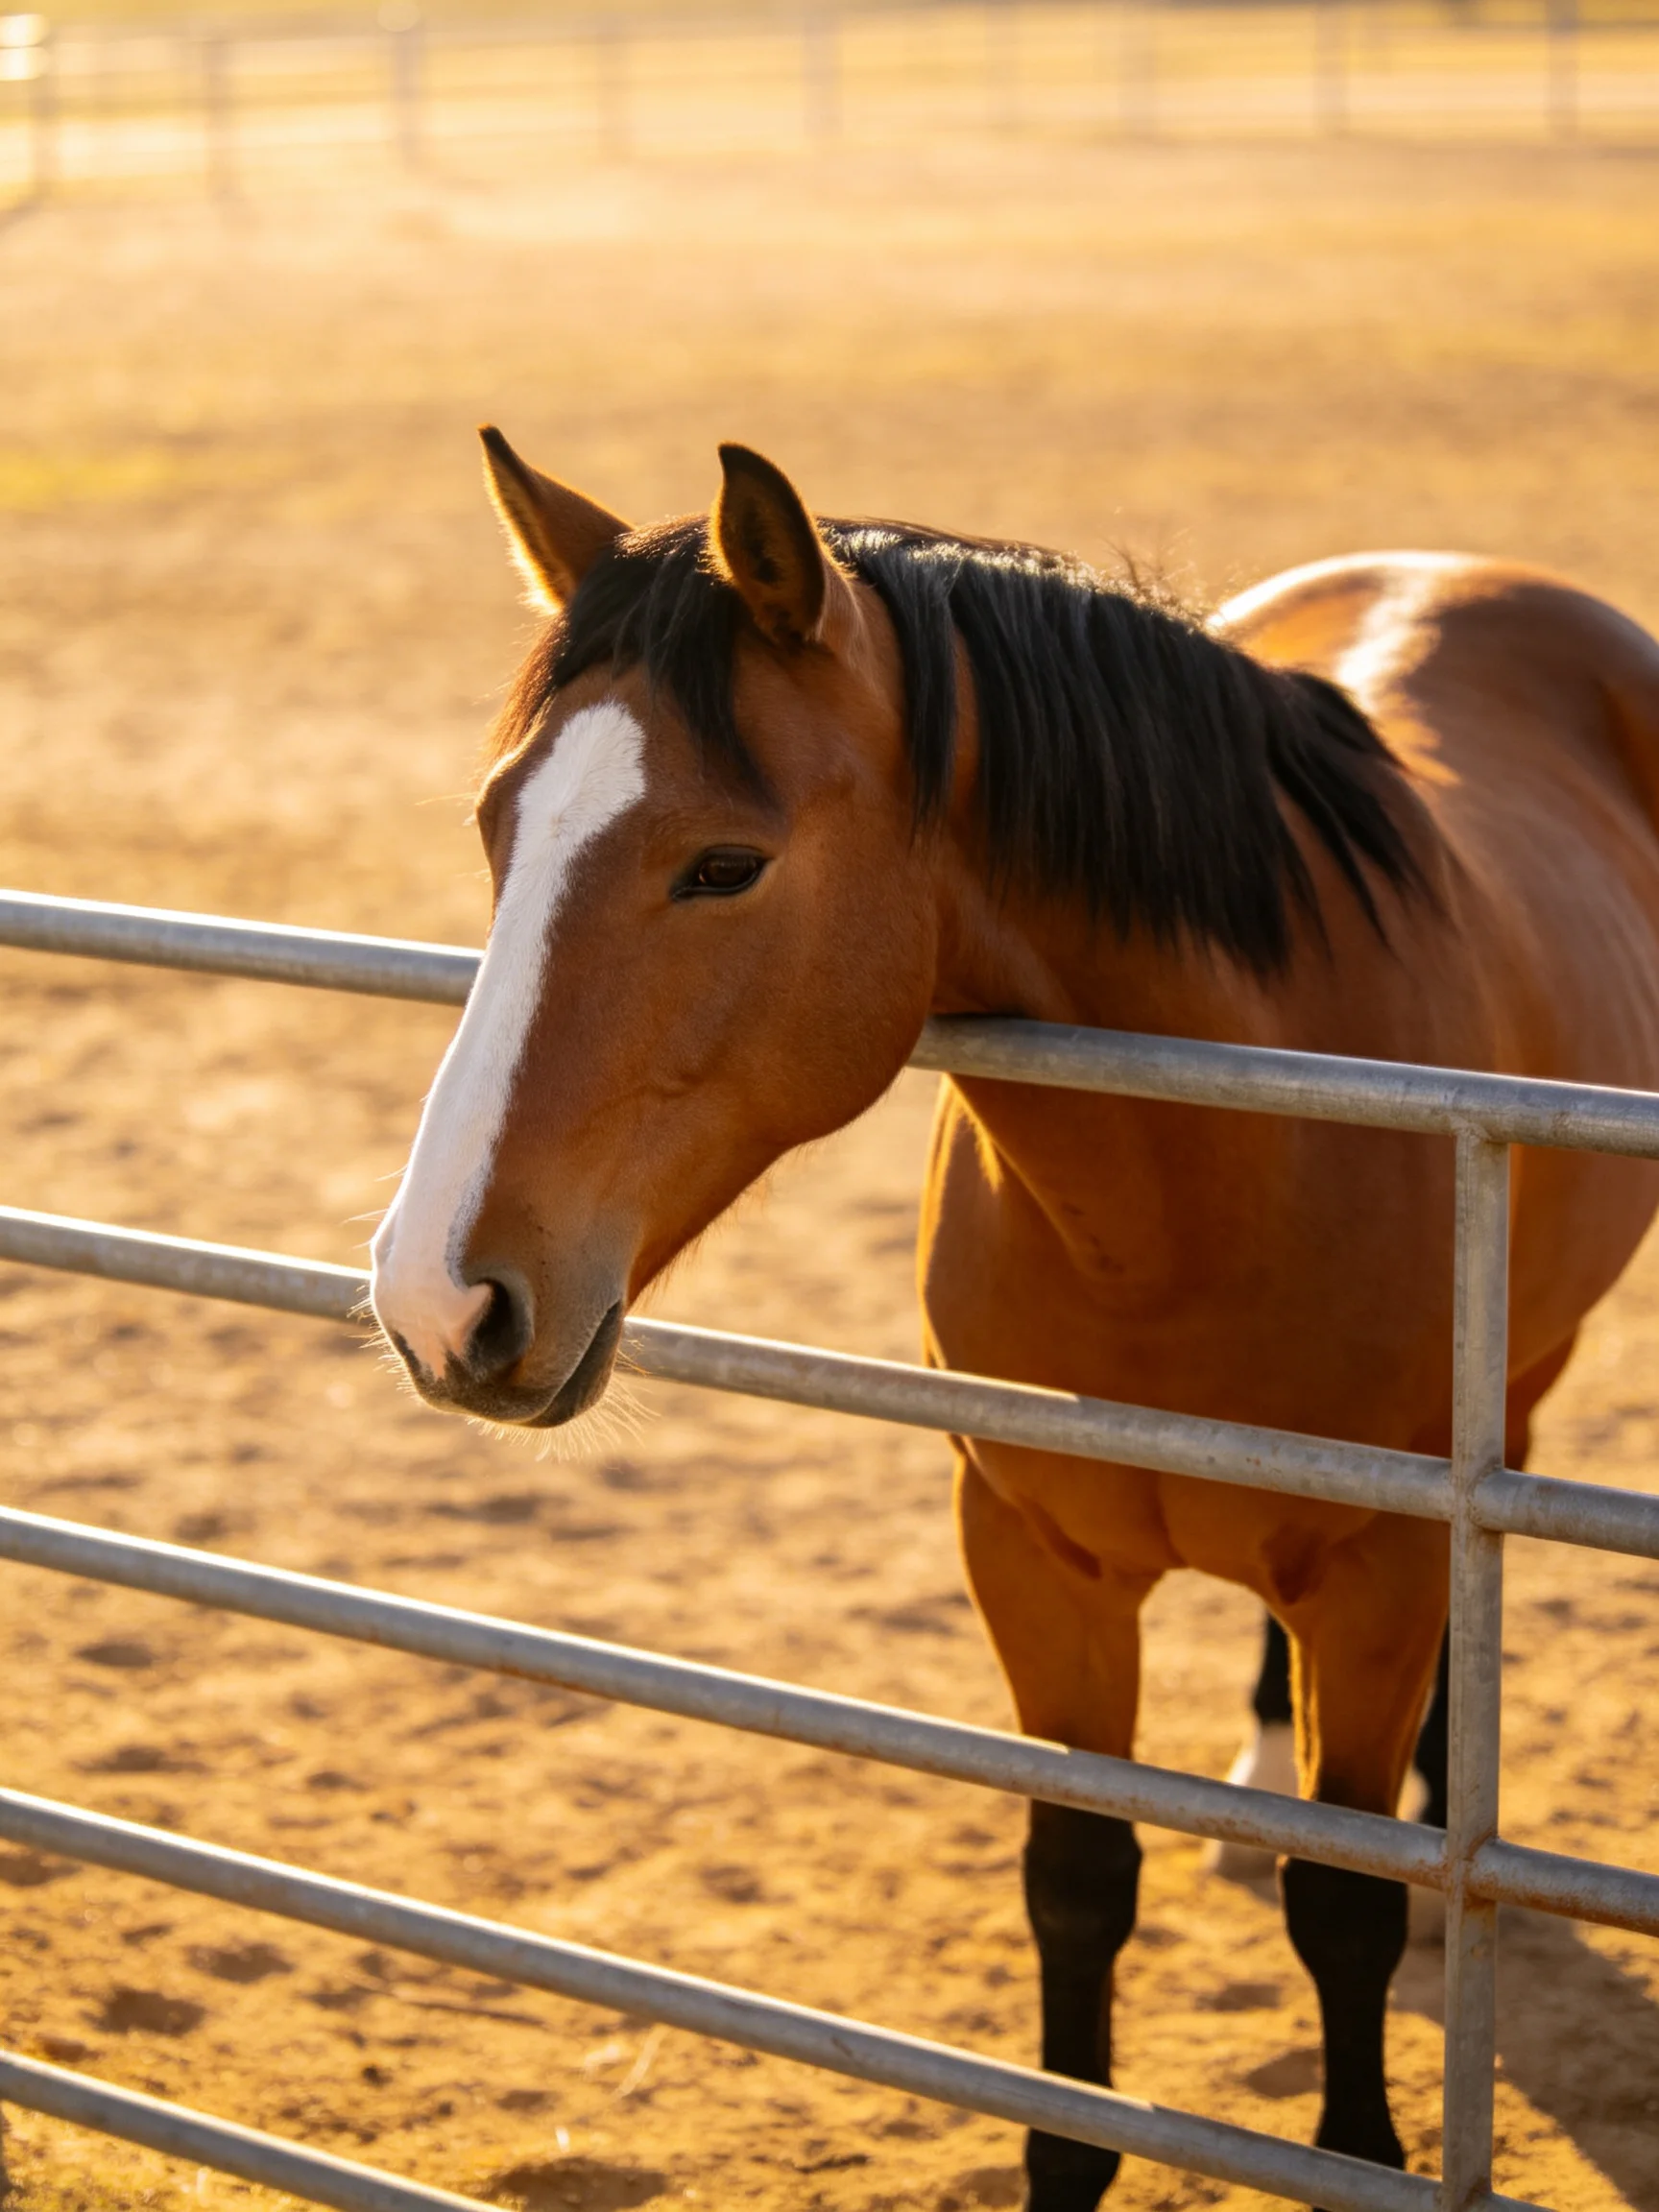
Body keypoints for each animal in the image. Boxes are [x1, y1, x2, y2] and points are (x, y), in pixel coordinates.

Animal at [370, 431, 1659, 2210]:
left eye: (723, 863)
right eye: (501, 827)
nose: (441, 1298)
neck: (1208, 1186)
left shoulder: (1381, 1569)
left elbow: (1343, 1904)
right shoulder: (1034, 1556)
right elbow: (1076, 1877)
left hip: (1513, 1387)